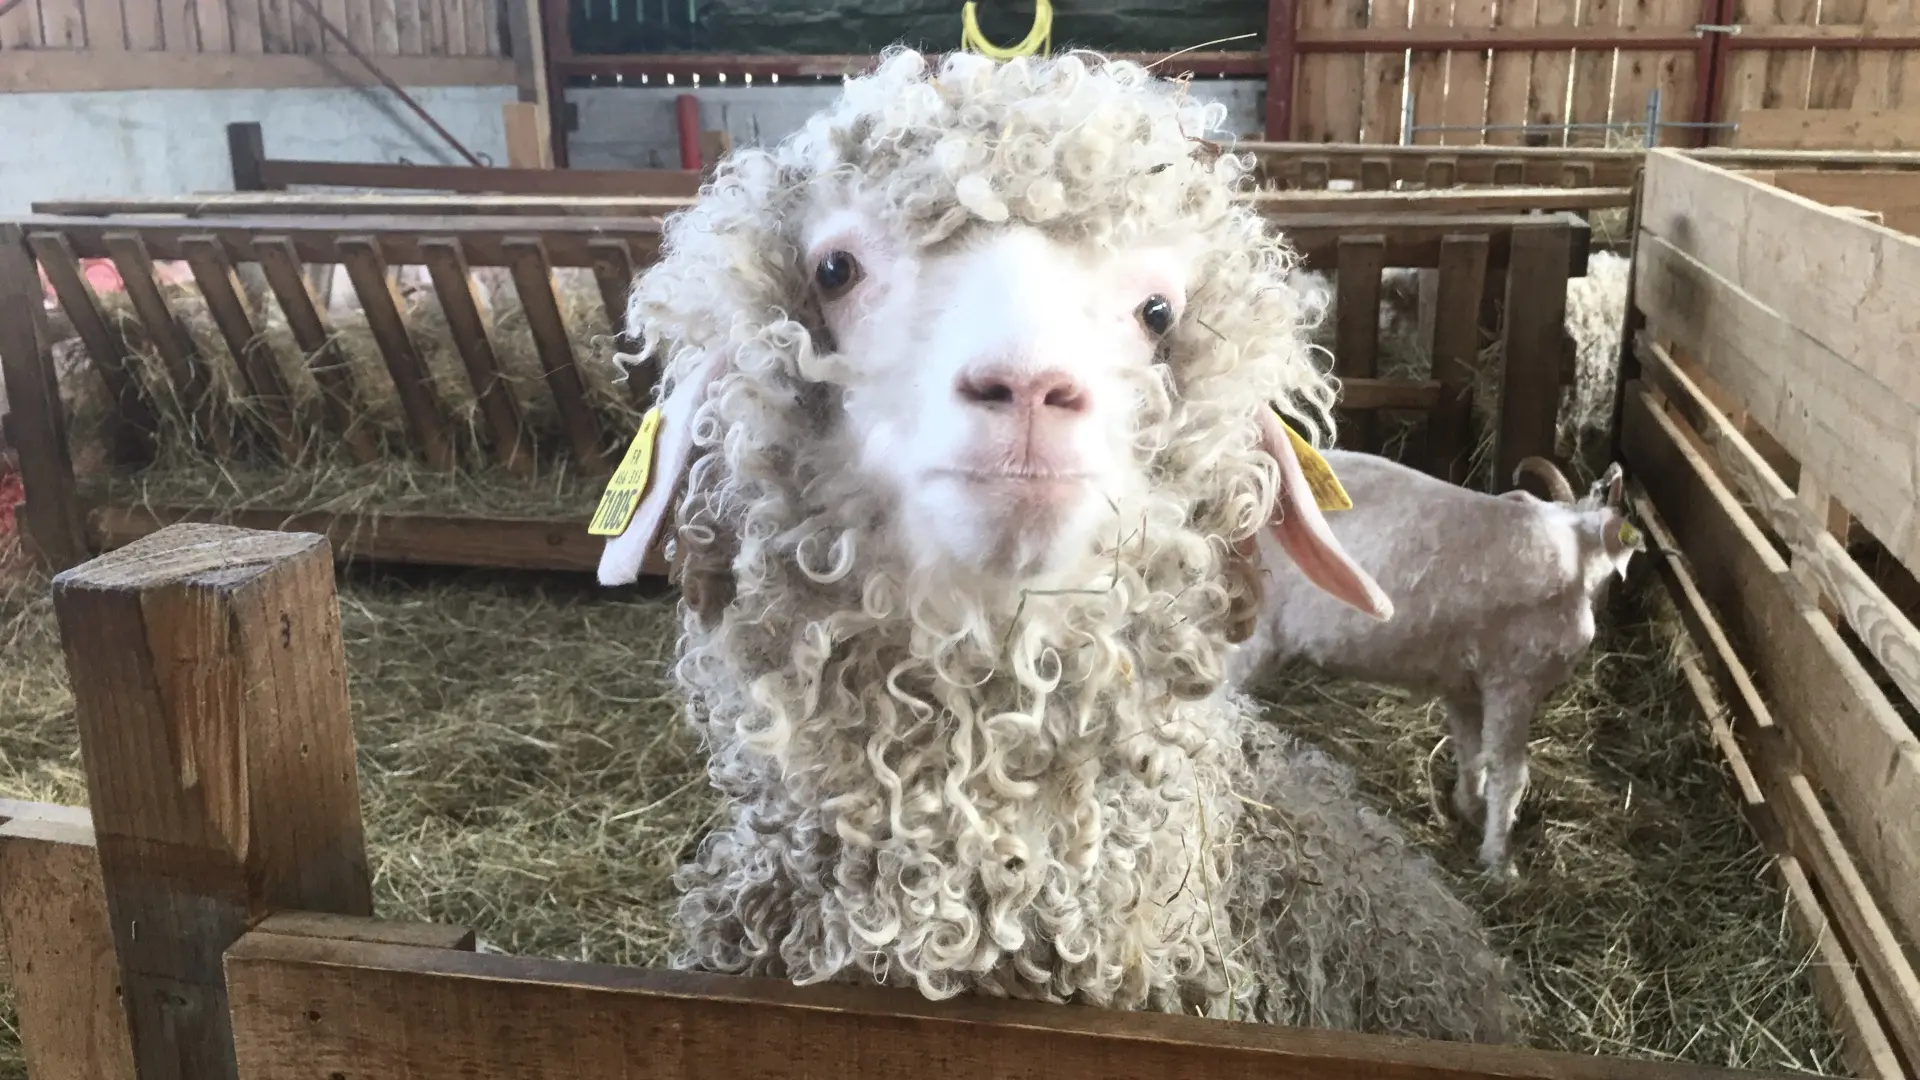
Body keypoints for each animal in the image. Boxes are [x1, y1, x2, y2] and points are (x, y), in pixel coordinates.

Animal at [1228, 449, 1635, 868]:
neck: (1574, 552)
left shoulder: (1465, 686)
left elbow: (1472, 752)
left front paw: (1470, 808)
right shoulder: (1514, 681)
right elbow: (1507, 772)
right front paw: (1498, 861)